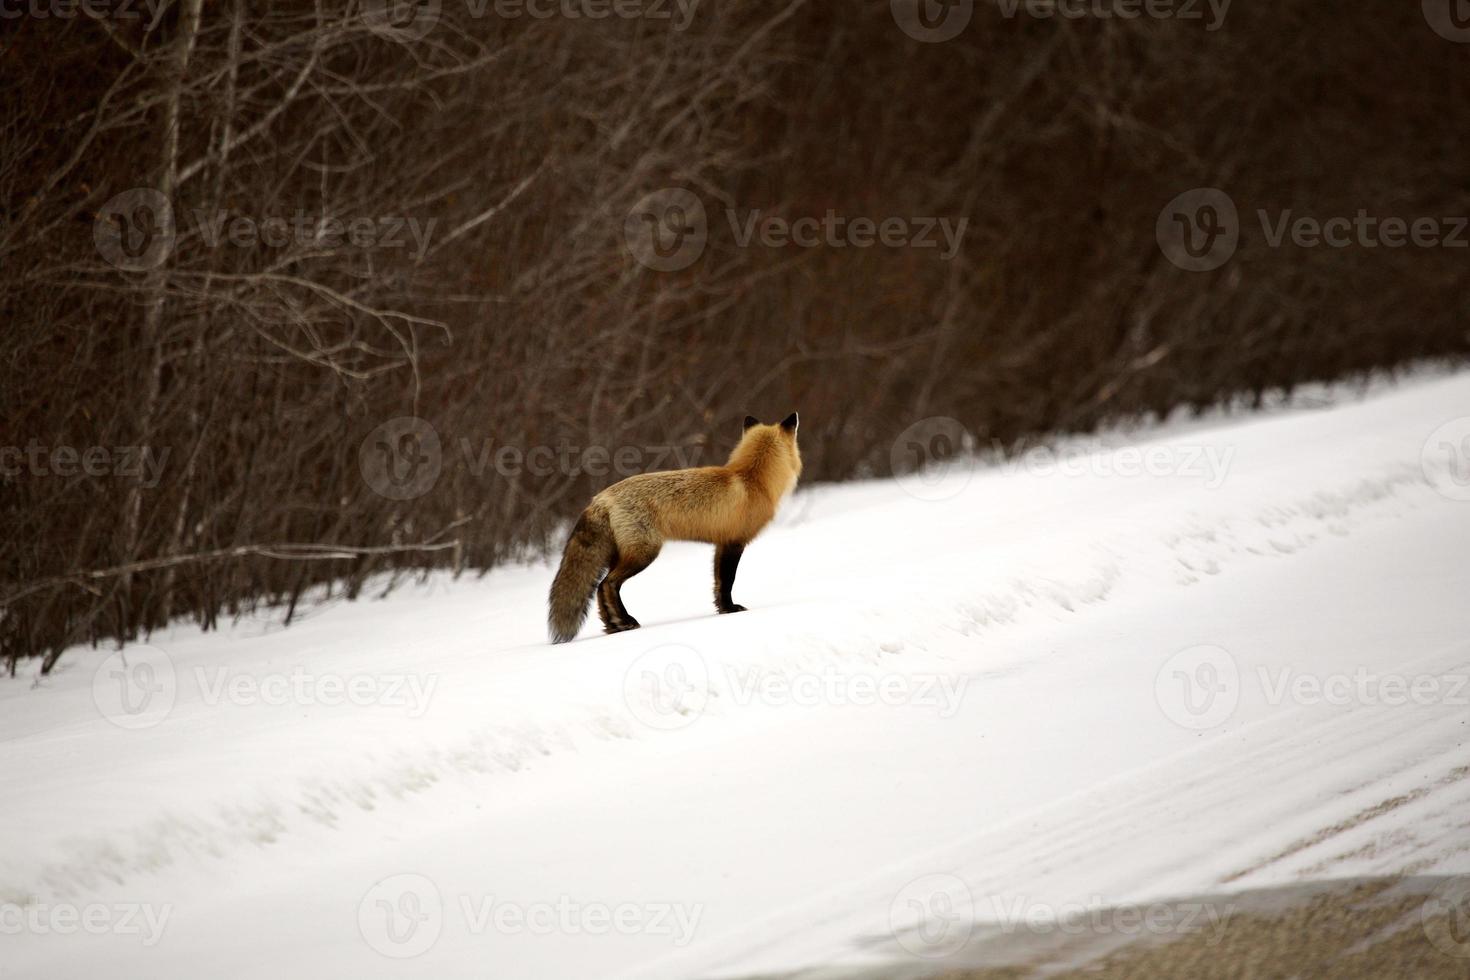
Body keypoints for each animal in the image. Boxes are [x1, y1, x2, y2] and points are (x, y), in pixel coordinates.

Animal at [552, 414, 805, 643]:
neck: (752, 479)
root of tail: (599, 498)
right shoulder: (735, 542)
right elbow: (728, 580)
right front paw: (731, 609)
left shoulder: (721, 543)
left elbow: (718, 583)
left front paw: (723, 609)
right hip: (644, 553)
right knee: (607, 584)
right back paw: (624, 621)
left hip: (622, 554)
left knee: (599, 589)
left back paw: (613, 625)